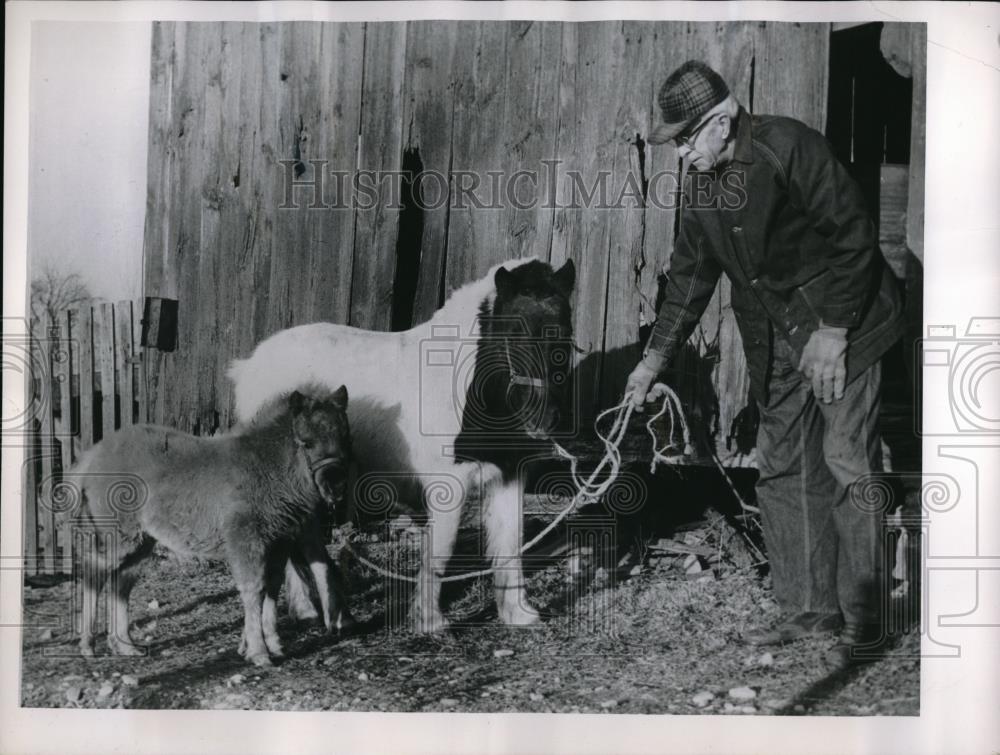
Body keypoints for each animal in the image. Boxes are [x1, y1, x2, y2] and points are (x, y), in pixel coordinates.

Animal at [69, 390, 352, 668]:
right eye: (306, 443)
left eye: (344, 437)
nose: (335, 486)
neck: (266, 467)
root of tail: (93, 455)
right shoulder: (246, 541)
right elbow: (253, 589)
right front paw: (258, 652)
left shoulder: (278, 545)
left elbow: (272, 588)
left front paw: (273, 645)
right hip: (117, 536)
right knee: (94, 573)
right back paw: (88, 645)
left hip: (141, 541)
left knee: (121, 583)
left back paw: (125, 645)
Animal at [229, 258, 576, 632]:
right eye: (513, 332)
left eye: (565, 331)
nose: (544, 419)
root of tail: (249, 366)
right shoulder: (448, 486)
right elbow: (441, 549)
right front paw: (429, 620)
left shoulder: (510, 475)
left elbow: (511, 542)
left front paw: (518, 613)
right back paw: (306, 608)